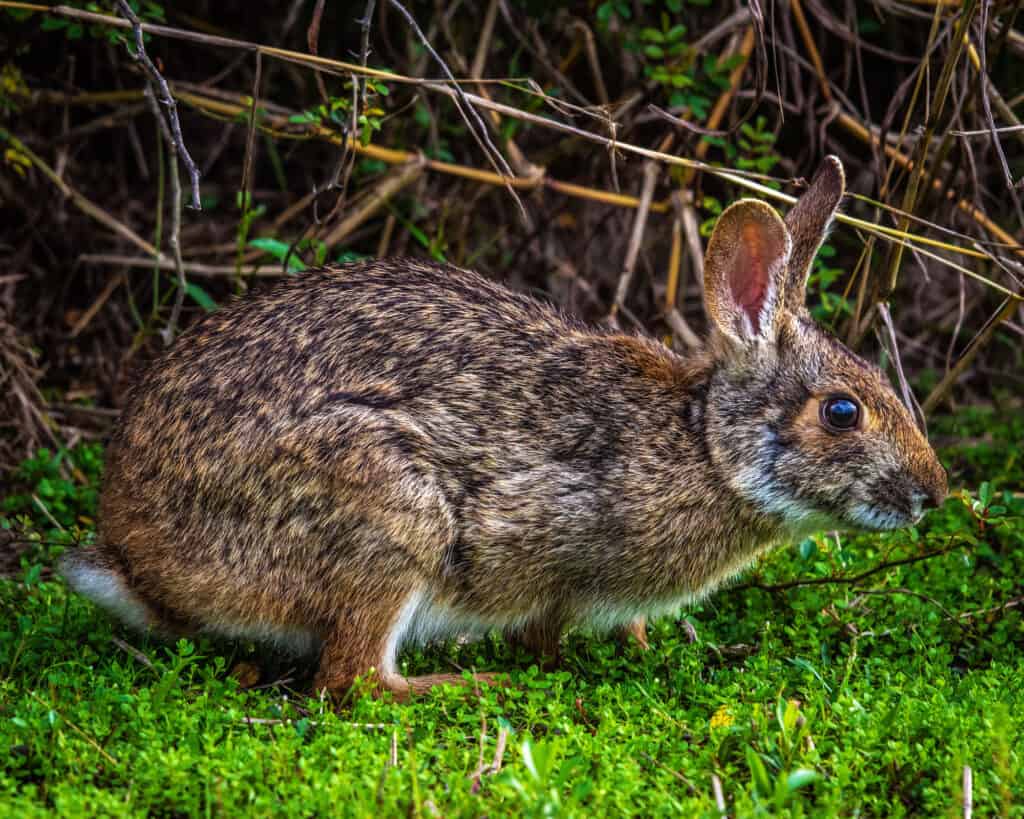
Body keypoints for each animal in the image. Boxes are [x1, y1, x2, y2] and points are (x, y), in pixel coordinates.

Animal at [59, 158, 946, 696]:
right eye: (842, 411)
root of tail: (139, 561)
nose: (934, 493)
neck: (703, 444)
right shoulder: (549, 542)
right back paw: (466, 685)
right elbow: (542, 627)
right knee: (352, 682)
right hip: (390, 511)